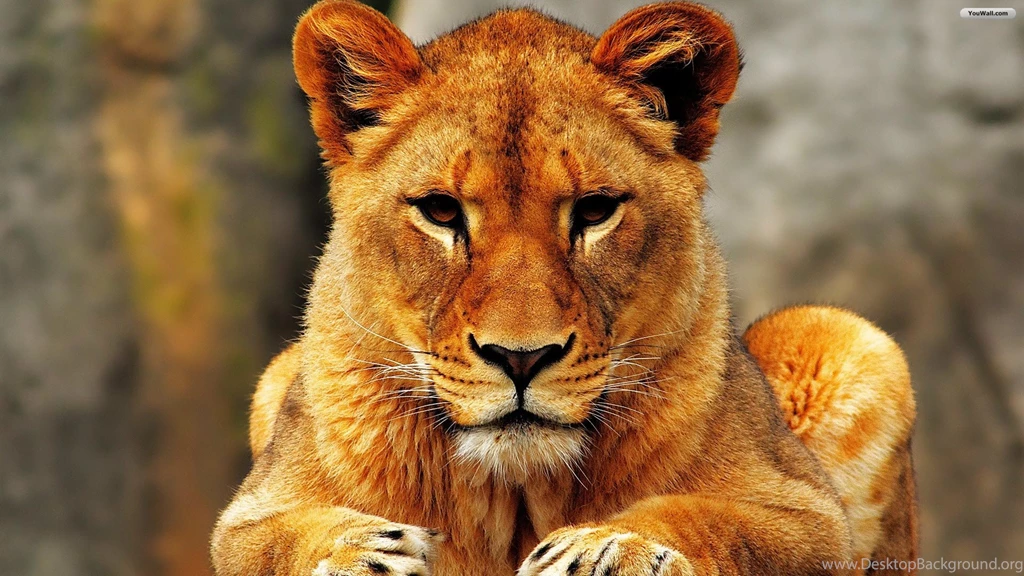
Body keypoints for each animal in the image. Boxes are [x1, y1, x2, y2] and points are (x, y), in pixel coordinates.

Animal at [210, 2, 918, 575]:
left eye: (595, 210)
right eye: (440, 211)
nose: (520, 358)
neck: (516, 496)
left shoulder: (804, 509)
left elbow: (710, 517)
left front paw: (608, 545)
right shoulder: (251, 511)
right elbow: (270, 539)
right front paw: (361, 549)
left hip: (848, 341)